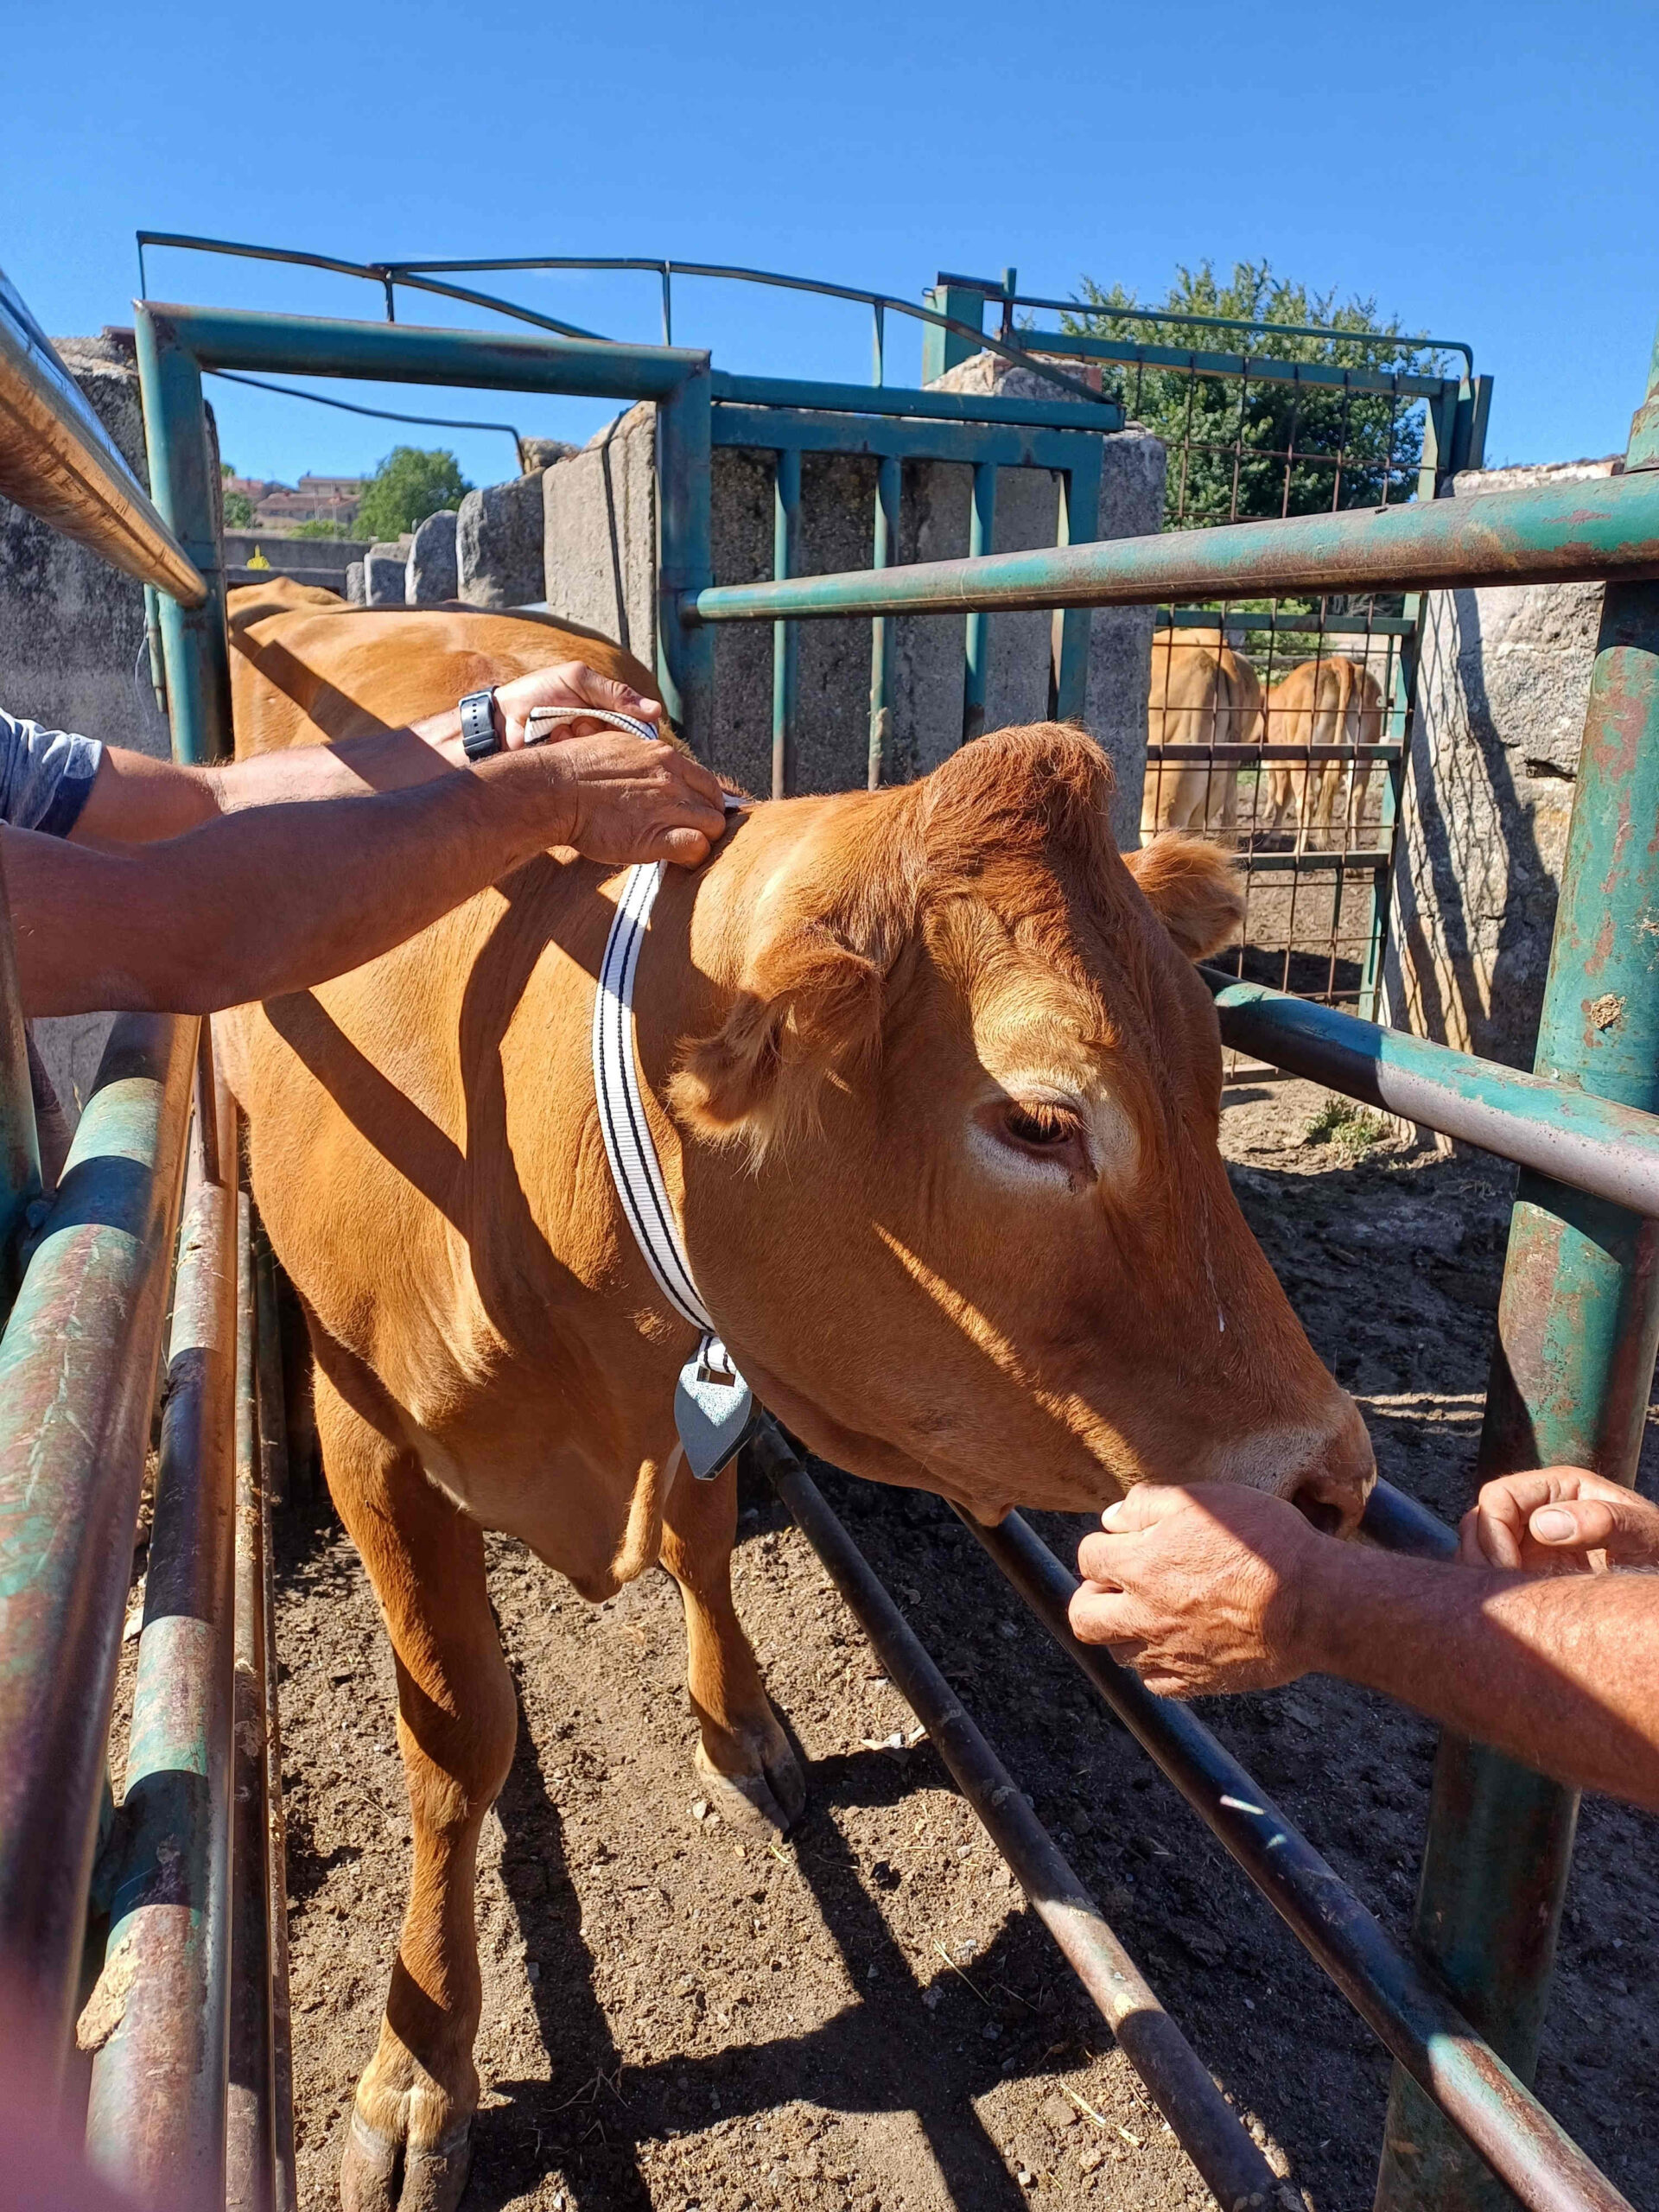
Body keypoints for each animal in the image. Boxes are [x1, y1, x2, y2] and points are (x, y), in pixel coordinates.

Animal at [221, 579, 1371, 2202]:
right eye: (1038, 1118)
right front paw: (418, 2068)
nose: (1337, 1478)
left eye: (1215, 1075)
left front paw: (739, 1724)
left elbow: (704, 1544)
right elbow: (458, 1742)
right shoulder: (368, 1435)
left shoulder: (714, 1376)